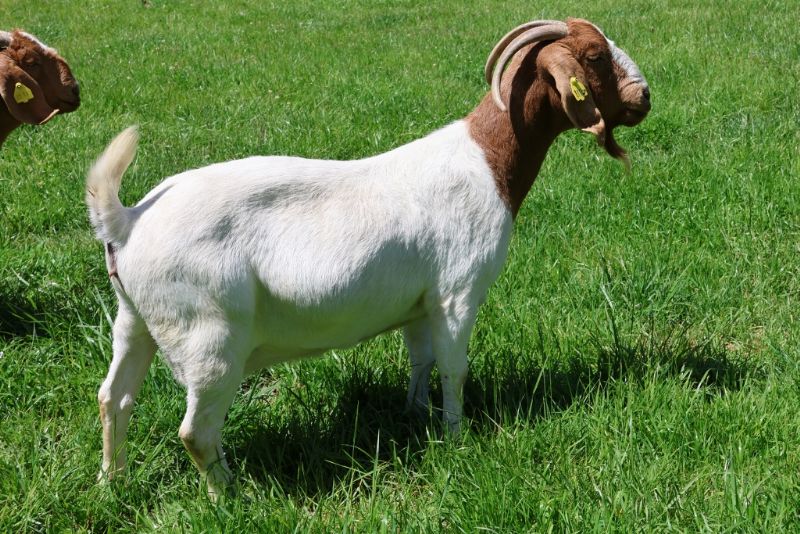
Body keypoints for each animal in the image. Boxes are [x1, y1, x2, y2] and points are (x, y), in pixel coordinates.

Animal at [87, 18, 650, 498]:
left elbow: (422, 359)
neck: (487, 162)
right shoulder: (457, 291)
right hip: (209, 337)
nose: (644, 97)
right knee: (197, 430)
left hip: (134, 318)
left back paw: (112, 481)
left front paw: (416, 414)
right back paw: (230, 497)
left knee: (114, 397)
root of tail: (127, 220)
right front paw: (456, 436)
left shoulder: (420, 302)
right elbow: (454, 367)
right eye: (596, 56)